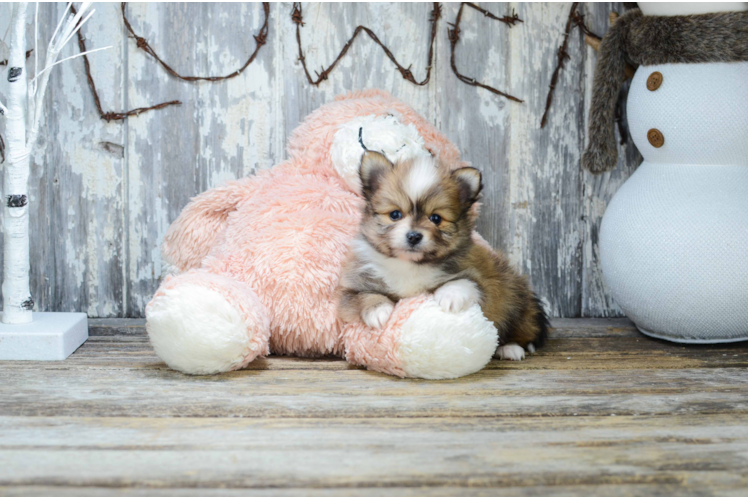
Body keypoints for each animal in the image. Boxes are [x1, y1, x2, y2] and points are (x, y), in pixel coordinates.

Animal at [338, 148, 548, 360]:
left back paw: (510, 348)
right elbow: (363, 296)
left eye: (436, 218)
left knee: (520, 327)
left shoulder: (481, 279)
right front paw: (378, 310)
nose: (414, 236)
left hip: (512, 295)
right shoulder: (351, 288)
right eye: (395, 214)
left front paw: (450, 296)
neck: (410, 264)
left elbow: (463, 282)